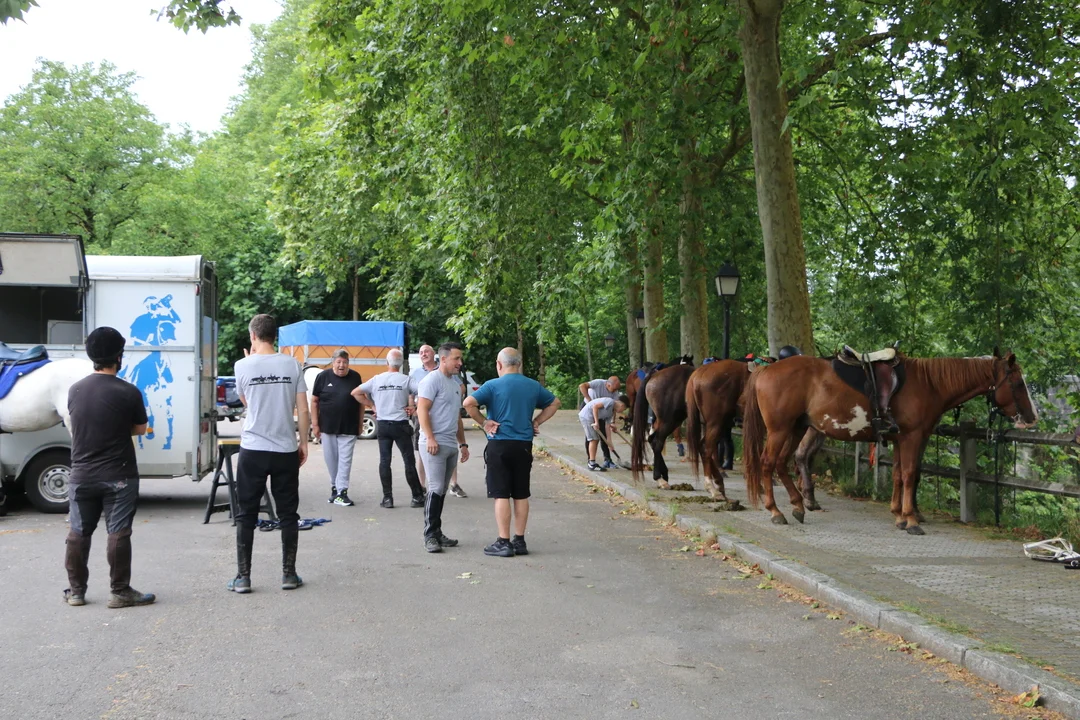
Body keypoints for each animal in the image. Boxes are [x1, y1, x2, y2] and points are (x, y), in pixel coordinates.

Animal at [631, 360, 695, 490]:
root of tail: (653, 375)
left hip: (673, 419)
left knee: (652, 439)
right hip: (668, 420)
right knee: (657, 441)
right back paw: (659, 478)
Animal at [742, 350, 1037, 534]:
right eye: (1018, 383)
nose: (1032, 417)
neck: (929, 384)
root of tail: (766, 369)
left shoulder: (901, 439)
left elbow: (898, 474)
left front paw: (899, 514)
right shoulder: (912, 437)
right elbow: (909, 474)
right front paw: (911, 519)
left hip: (796, 428)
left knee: (781, 463)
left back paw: (797, 505)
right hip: (780, 430)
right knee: (768, 463)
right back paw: (775, 511)